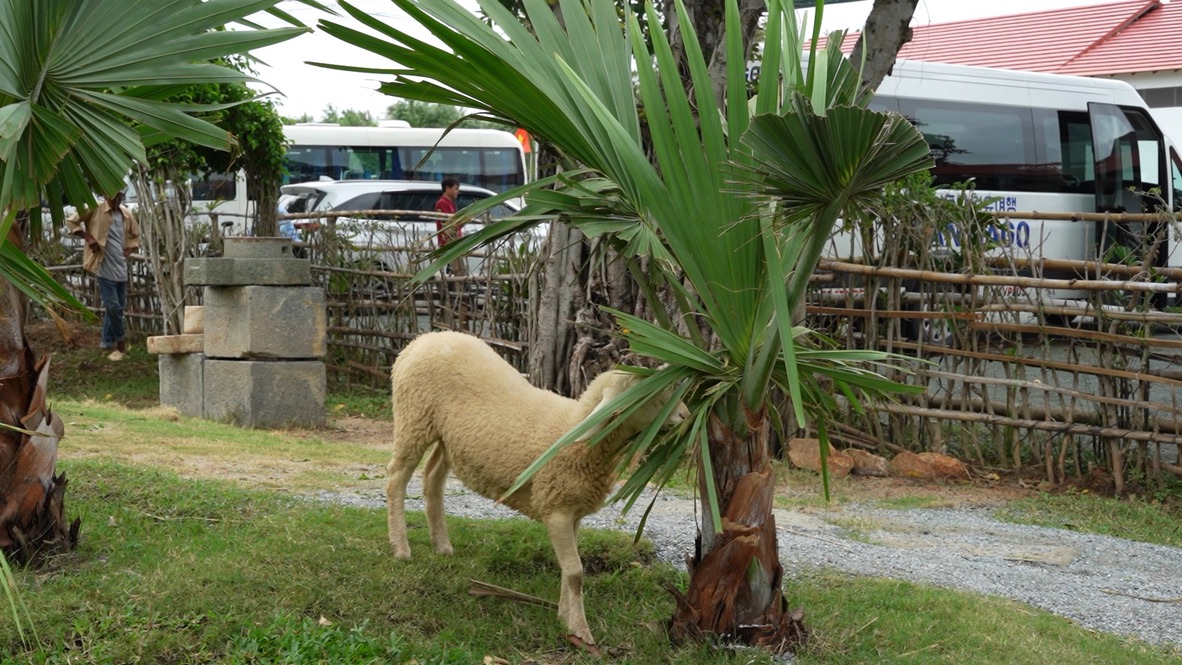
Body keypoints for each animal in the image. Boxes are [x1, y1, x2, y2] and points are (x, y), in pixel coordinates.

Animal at [387, 330, 690, 647]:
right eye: (649, 395)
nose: (685, 416)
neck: (578, 432)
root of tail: (426, 338)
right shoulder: (556, 510)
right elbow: (575, 572)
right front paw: (581, 631)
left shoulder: (572, 512)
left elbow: (569, 571)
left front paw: (564, 617)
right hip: (413, 417)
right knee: (397, 477)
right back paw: (401, 547)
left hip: (447, 436)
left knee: (432, 476)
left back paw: (442, 545)